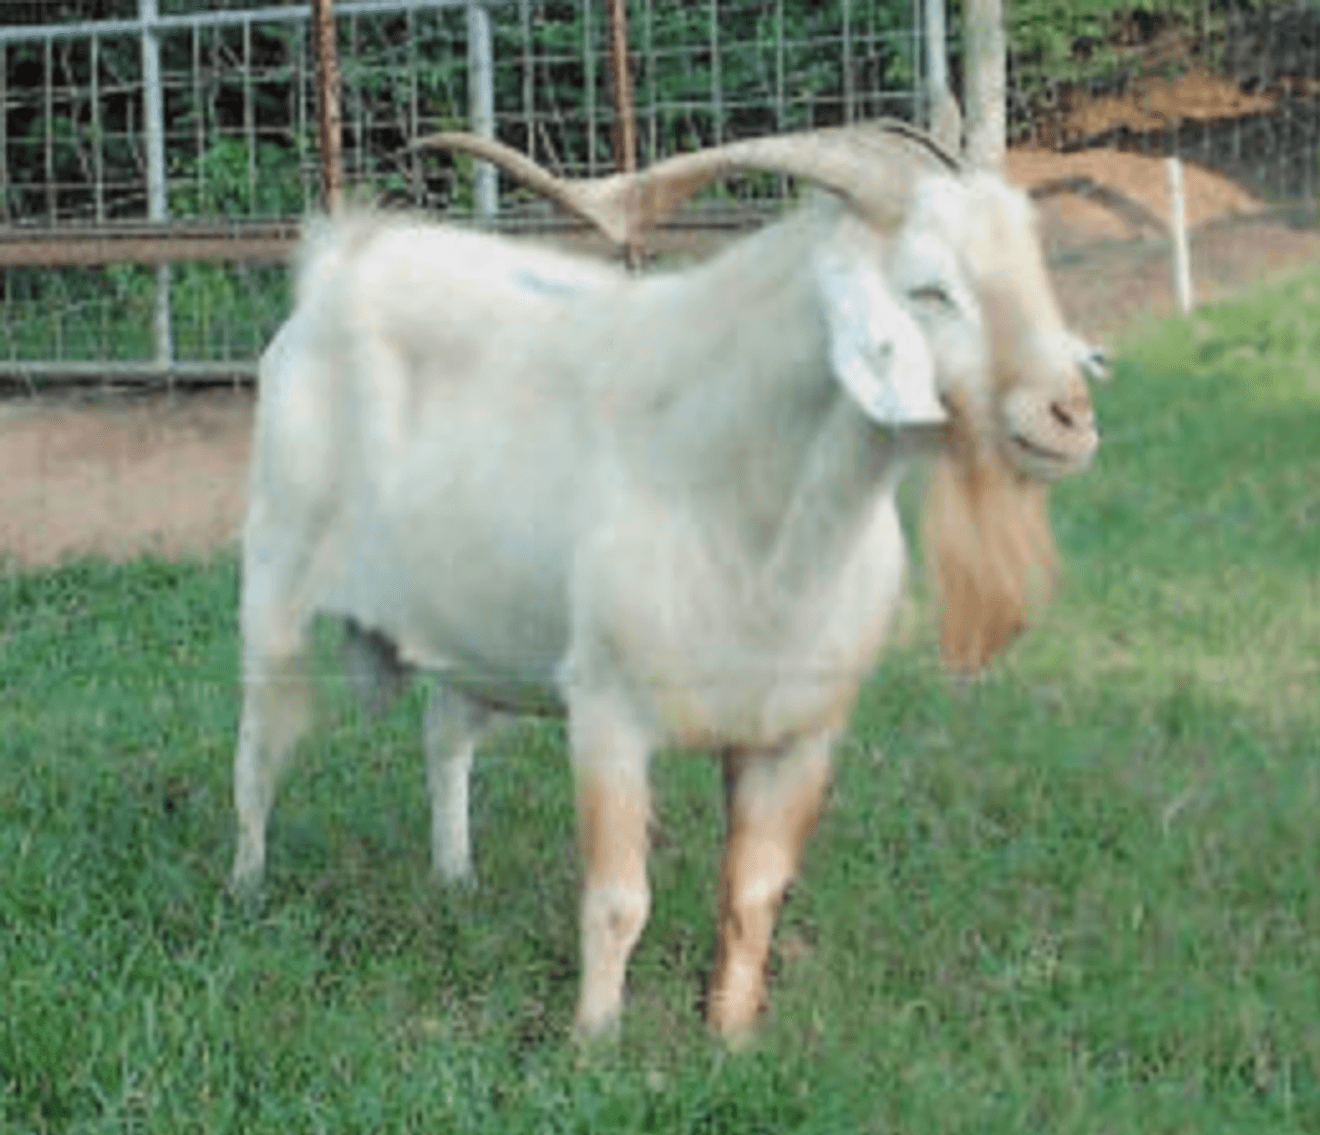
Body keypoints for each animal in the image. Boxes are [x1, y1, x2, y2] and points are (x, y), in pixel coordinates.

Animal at [232, 122, 1102, 1042]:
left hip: (476, 632)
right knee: (259, 752)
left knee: (445, 737)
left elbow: (753, 894)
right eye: (929, 288)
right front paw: (593, 1041)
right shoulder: (610, 714)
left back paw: (454, 877)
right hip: (275, 585)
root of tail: (335, 266)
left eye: (1031, 261)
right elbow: (619, 898)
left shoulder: (798, 735)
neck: (756, 518)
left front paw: (731, 1035)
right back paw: (246, 890)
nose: (1069, 417)